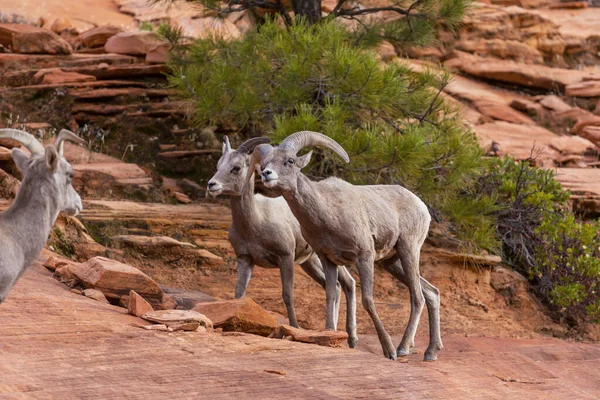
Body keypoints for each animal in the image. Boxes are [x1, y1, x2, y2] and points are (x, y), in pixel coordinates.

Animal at [207, 136, 356, 346]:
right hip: (310, 262)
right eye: (219, 165)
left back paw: (351, 339)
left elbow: (287, 295)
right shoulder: (245, 259)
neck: (256, 221)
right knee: (335, 285)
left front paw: (293, 328)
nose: (211, 184)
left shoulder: (285, 257)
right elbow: (239, 294)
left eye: (236, 167)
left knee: (348, 283)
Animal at [246, 132, 442, 362]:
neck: (327, 214)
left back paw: (403, 348)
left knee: (417, 297)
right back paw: (431, 352)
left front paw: (389, 351)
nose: (266, 174)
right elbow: (331, 295)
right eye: (264, 163)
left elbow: (367, 300)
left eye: (290, 161)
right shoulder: (328, 260)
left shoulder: (364, 256)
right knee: (431, 293)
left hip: (408, 250)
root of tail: (421, 206)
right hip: (392, 262)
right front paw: (329, 334)